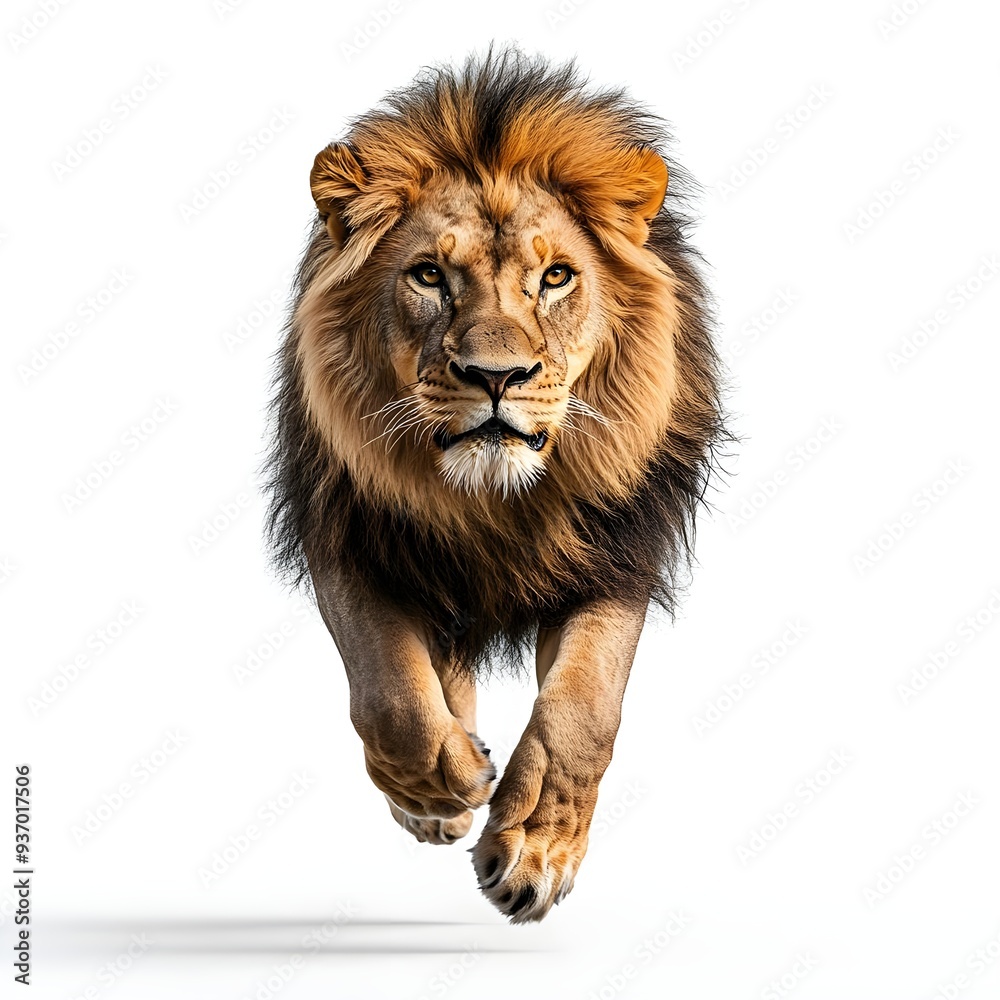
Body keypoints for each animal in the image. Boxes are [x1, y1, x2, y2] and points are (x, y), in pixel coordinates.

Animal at [264, 48, 725, 923]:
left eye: (556, 277)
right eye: (427, 276)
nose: (496, 376)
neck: (492, 505)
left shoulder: (619, 550)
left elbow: (584, 710)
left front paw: (534, 852)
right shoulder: (348, 533)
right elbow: (391, 693)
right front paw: (437, 789)